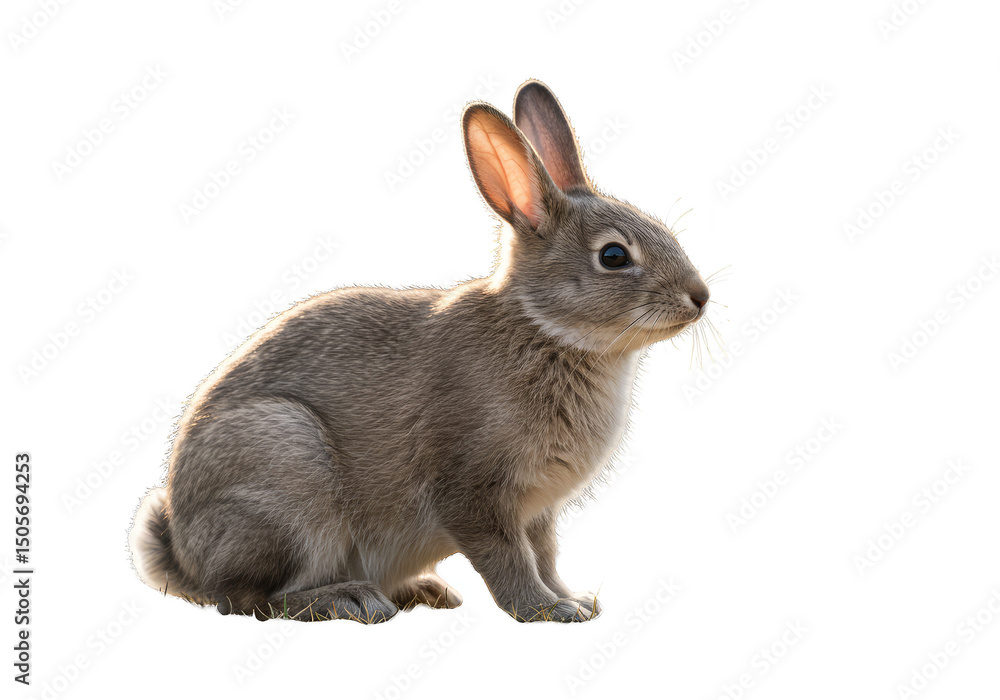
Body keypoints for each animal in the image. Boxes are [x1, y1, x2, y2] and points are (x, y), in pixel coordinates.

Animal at [129, 79, 710, 624]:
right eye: (613, 256)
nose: (700, 297)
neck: (545, 330)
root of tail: (185, 558)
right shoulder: (473, 492)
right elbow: (509, 559)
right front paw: (547, 610)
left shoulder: (537, 509)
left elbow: (544, 555)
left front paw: (574, 599)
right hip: (287, 471)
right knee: (247, 599)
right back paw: (350, 600)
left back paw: (423, 591)